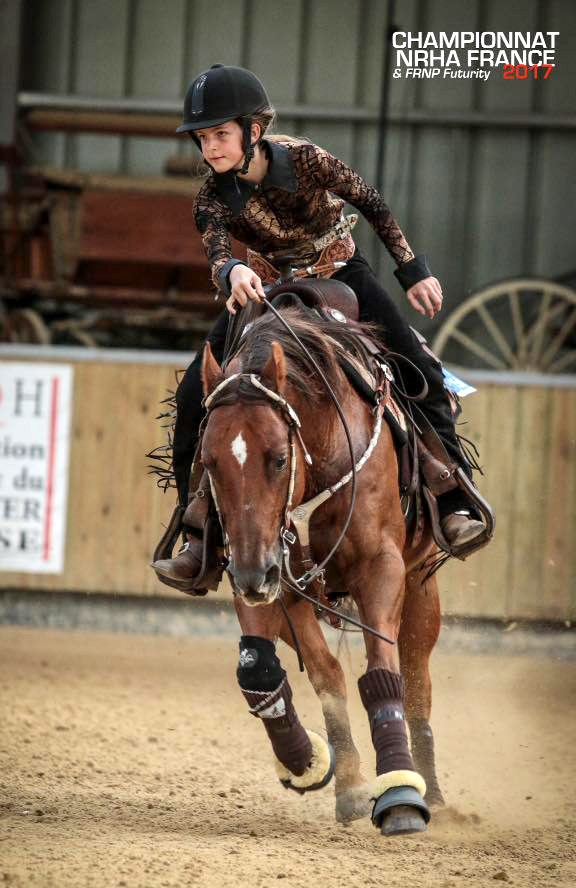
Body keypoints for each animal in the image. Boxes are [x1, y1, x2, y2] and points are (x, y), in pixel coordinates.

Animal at [200, 308, 444, 836]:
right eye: (208, 461)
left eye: (278, 458)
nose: (252, 574)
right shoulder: (278, 579)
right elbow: (300, 673)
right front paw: (324, 770)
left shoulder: (382, 567)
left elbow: (382, 671)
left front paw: (399, 789)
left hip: (421, 586)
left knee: (418, 678)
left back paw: (431, 788)